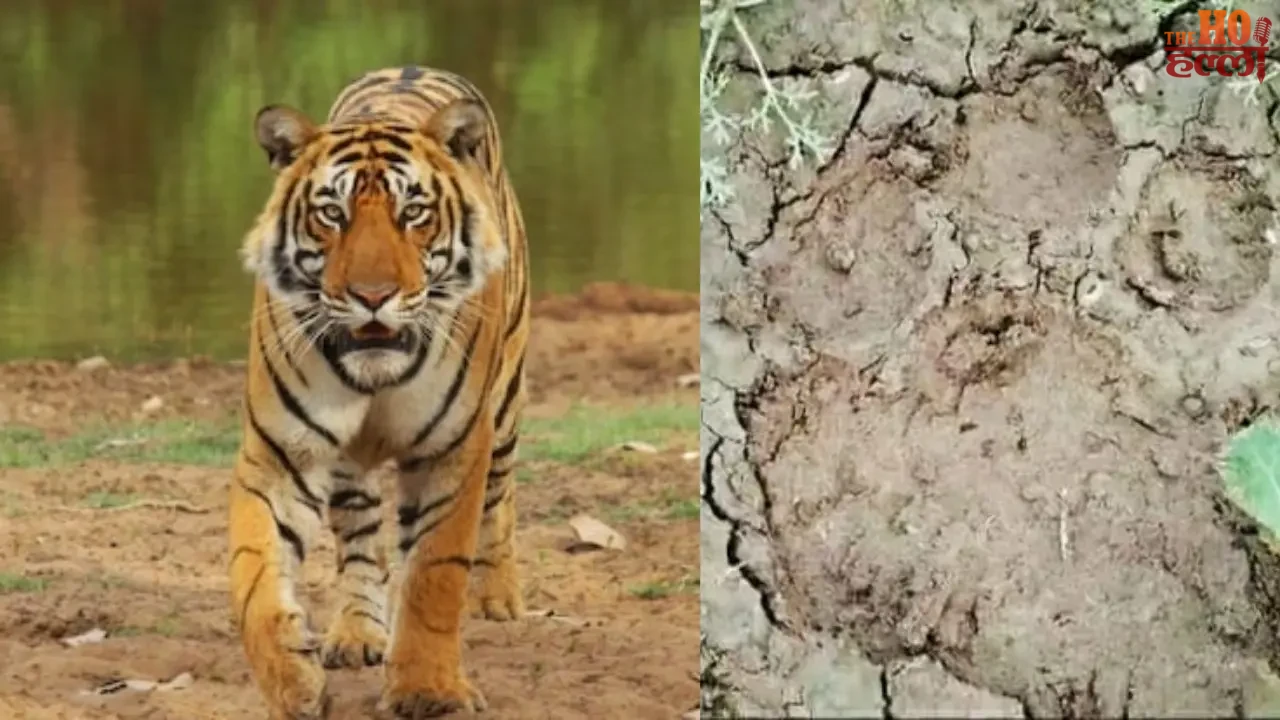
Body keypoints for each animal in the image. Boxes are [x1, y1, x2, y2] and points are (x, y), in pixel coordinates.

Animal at [228, 65, 530, 719]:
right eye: (331, 214)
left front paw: (428, 689)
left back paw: (498, 597)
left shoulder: (453, 450)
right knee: (363, 542)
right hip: (349, 468)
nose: (372, 296)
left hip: (505, 407)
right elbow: (255, 578)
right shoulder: (278, 456)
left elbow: (435, 575)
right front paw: (293, 681)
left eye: (413, 212)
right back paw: (359, 633)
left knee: (500, 501)